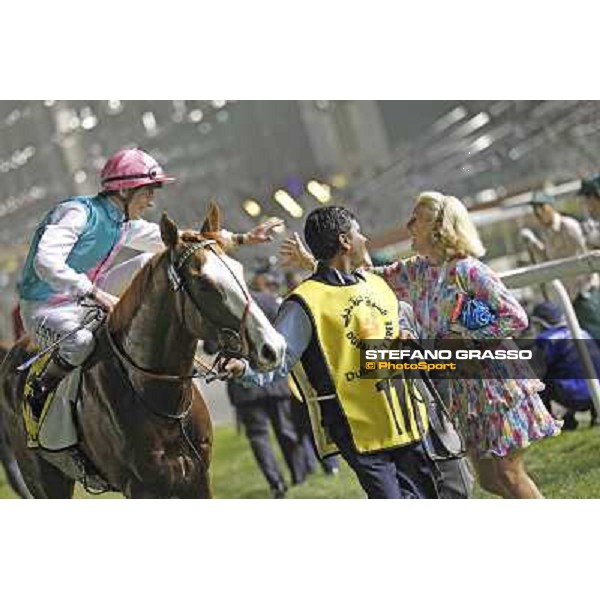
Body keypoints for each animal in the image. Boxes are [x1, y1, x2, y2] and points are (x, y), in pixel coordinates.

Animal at [0, 204, 284, 500]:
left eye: (239, 270)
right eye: (204, 283)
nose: (273, 347)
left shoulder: (197, 478)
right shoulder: (142, 487)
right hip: (44, 479)